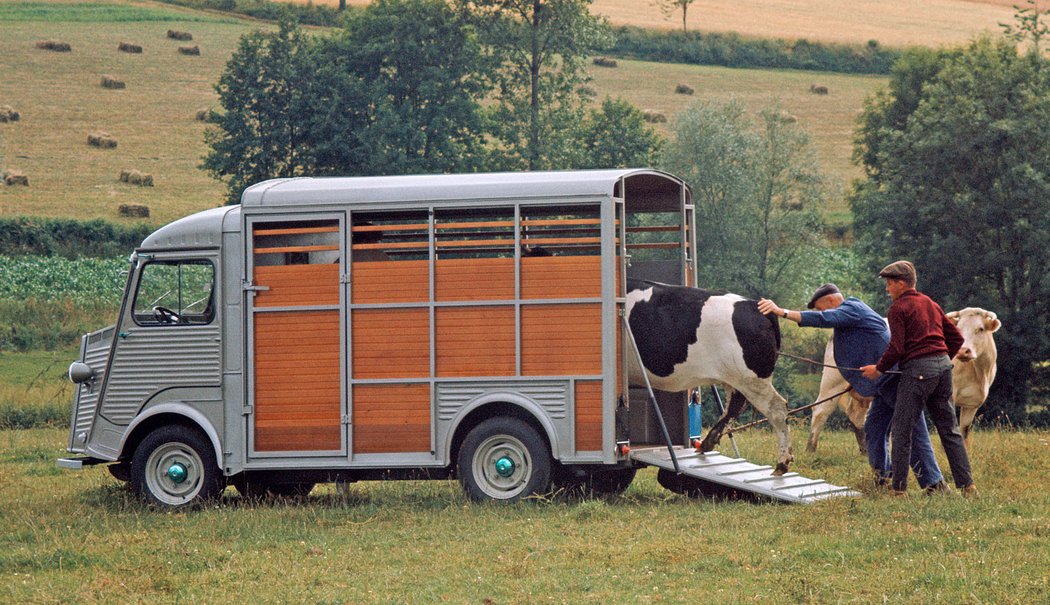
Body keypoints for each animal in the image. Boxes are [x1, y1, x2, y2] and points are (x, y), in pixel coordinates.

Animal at [625, 281, 789, 474]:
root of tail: (754, 305)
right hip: (736, 378)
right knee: (735, 404)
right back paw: (707, 442)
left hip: (752, 378)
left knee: (777, 408)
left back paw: (782, 463)